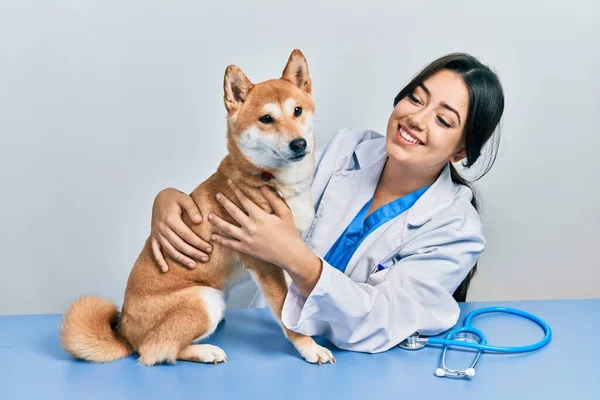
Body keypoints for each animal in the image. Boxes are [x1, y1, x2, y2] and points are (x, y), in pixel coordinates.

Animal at [61, 49, 338, 366]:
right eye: (266, 118)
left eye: (297, 111)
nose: (299, 143)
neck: (267, 180)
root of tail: (125, 333)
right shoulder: (265, 264)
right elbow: (284, 311)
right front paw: (309, 347)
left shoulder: (291, 253)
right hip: (206, 298)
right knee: (155, 351)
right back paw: (205, 351)